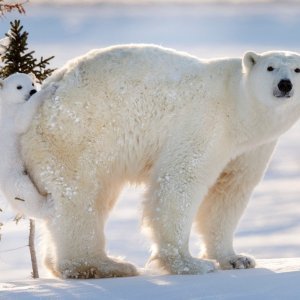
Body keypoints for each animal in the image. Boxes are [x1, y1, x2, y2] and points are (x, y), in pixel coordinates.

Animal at [0, 72, 55, 218]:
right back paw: (48, 204)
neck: (5, 103)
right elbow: (21, 119)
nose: (32, 91)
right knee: (24, 193)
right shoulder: (11, 116)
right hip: (13, 175)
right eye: (19, 86)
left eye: (32, 83)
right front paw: (49, 89)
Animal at [21, 45, 300, 278]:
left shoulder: (251, 149)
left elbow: (228, 193)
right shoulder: (205, 123)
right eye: (270, 67)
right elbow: (180, 180)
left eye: (297, 69)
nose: (285, 85)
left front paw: (236, 259)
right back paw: (106, 265)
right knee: (80, 199)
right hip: (75, 136)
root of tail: (46, 90)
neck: (239, 106)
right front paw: (190, 263)